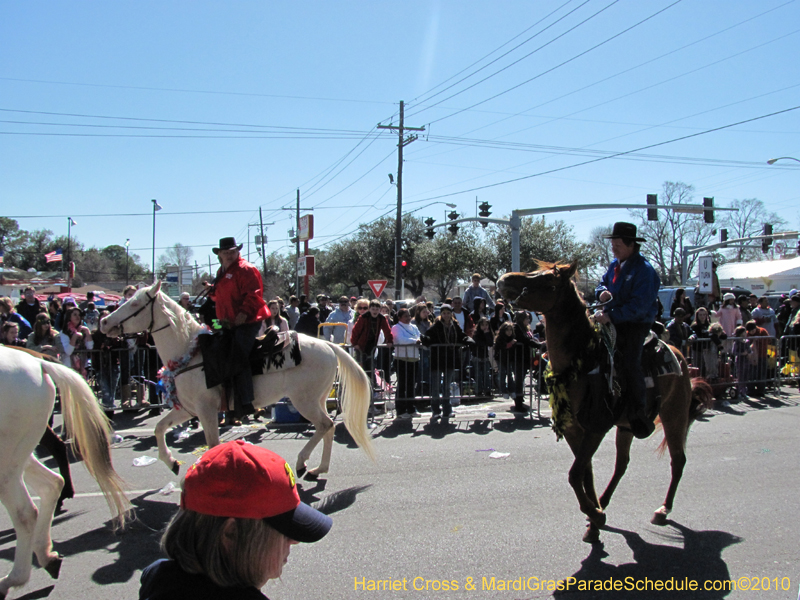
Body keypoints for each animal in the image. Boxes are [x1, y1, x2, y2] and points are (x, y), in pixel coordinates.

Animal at [0, 344, 128, 596]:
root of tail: (39, 363)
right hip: (20, 454)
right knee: (51, 484)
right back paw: (47, 557)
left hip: (6, 463)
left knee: (26, 513)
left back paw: (12, 580)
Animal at [99, 282, 376, 478]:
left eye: (135, 304)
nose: (103, 322)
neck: (191, 353)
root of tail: (329, 346)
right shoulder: (187, 409)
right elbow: (159, 428)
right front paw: (172, 462)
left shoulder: (206, 410)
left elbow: (212, 444)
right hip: (316, 398)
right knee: (327, 427)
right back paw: (318, 468)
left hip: (304, 400)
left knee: (324, 425)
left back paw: (301, 463)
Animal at [500, 262, 712, 544]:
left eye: (549, 282)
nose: (504, 279)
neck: (583, 363)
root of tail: (679, 354)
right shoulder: (574, 430)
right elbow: (585, 473)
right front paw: (595, 517)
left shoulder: (596, 428)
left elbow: (575, 474)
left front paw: (595, 515)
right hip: (626, 427)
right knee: (622, 464)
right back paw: (604, 501)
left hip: (673, 415)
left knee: (678, 460)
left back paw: (662, 510)